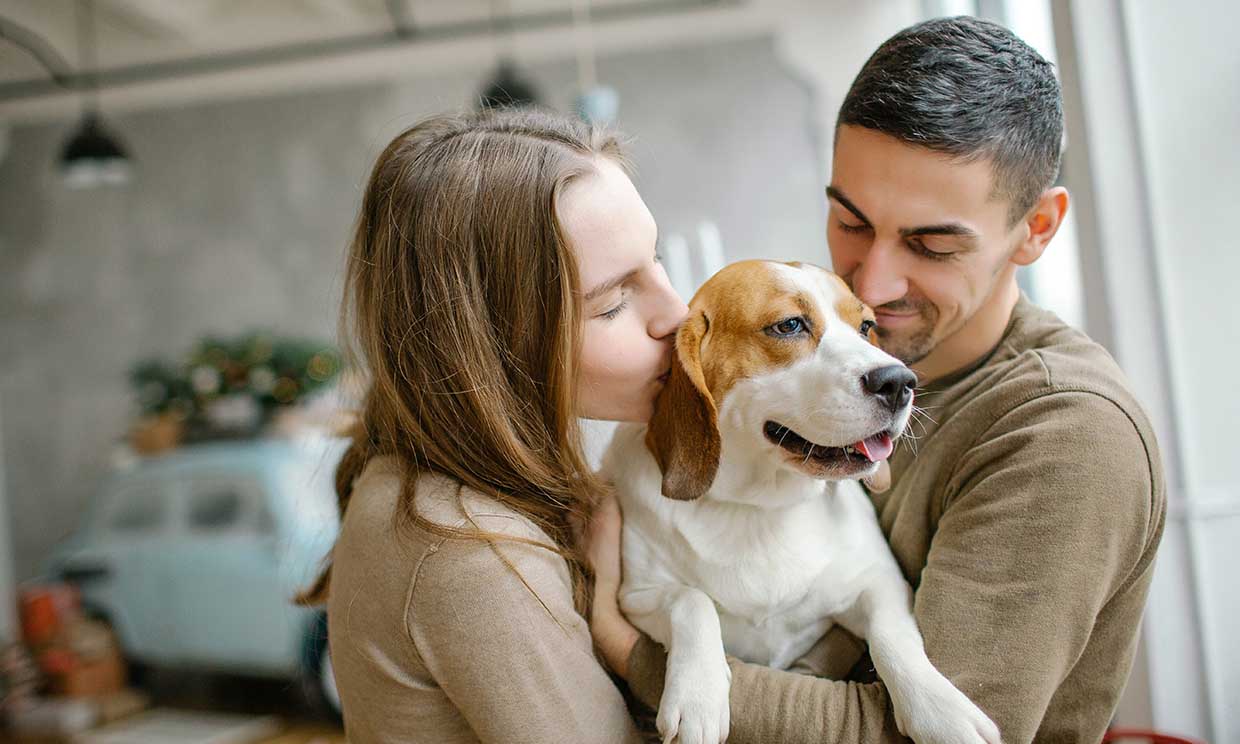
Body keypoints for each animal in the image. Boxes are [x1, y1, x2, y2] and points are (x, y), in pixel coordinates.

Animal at [600, 260, 996, 744]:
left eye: (866, 327)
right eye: (789, 325)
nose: (900, 382)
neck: (759, 507)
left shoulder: (879, 582)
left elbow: (892, 636)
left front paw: (940, 708)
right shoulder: (636, 596)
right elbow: (690, 602)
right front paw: (697, 694)